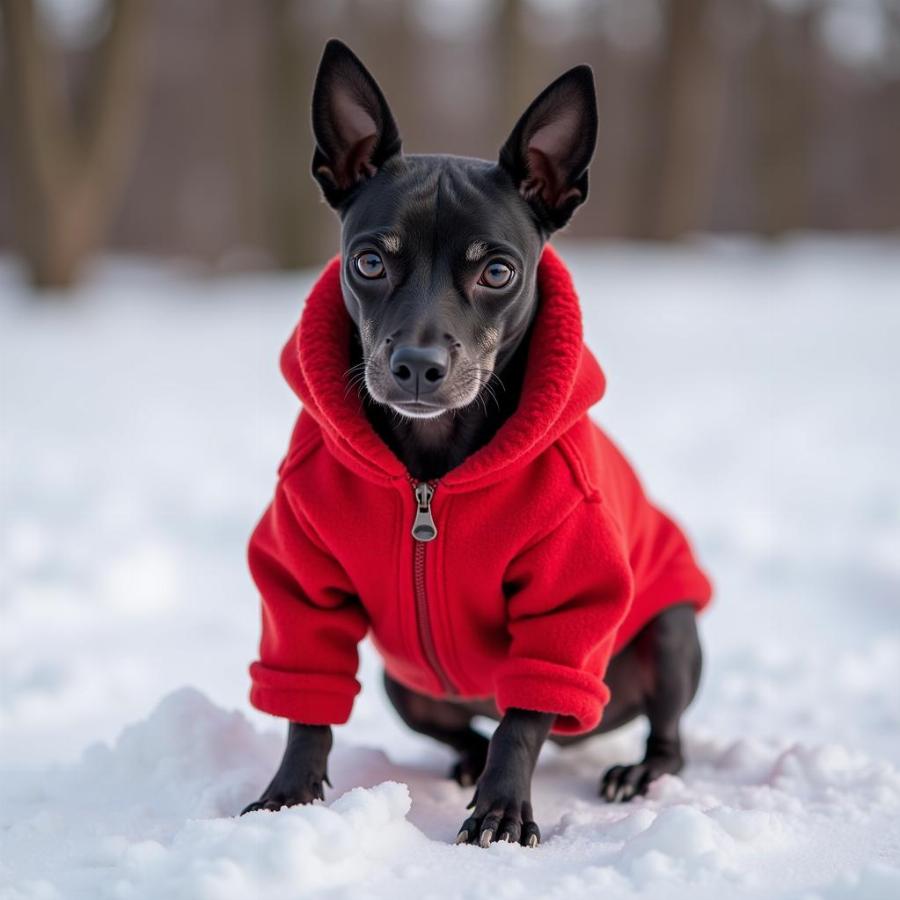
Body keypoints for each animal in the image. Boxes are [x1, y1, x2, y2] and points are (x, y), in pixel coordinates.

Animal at [243, 37, 712, 852]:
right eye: (370, 262)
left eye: (498, 271)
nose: (418, 364)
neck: (430, 469)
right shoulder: (299, 582)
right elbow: (307, 704)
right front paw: (290, 794)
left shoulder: (566, 602)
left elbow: (524, 721)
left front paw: (502, 811)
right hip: (406, 683)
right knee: (464, 728)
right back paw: (464, 762)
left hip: (670, 632)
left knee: (658, 733)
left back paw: (636, 772)